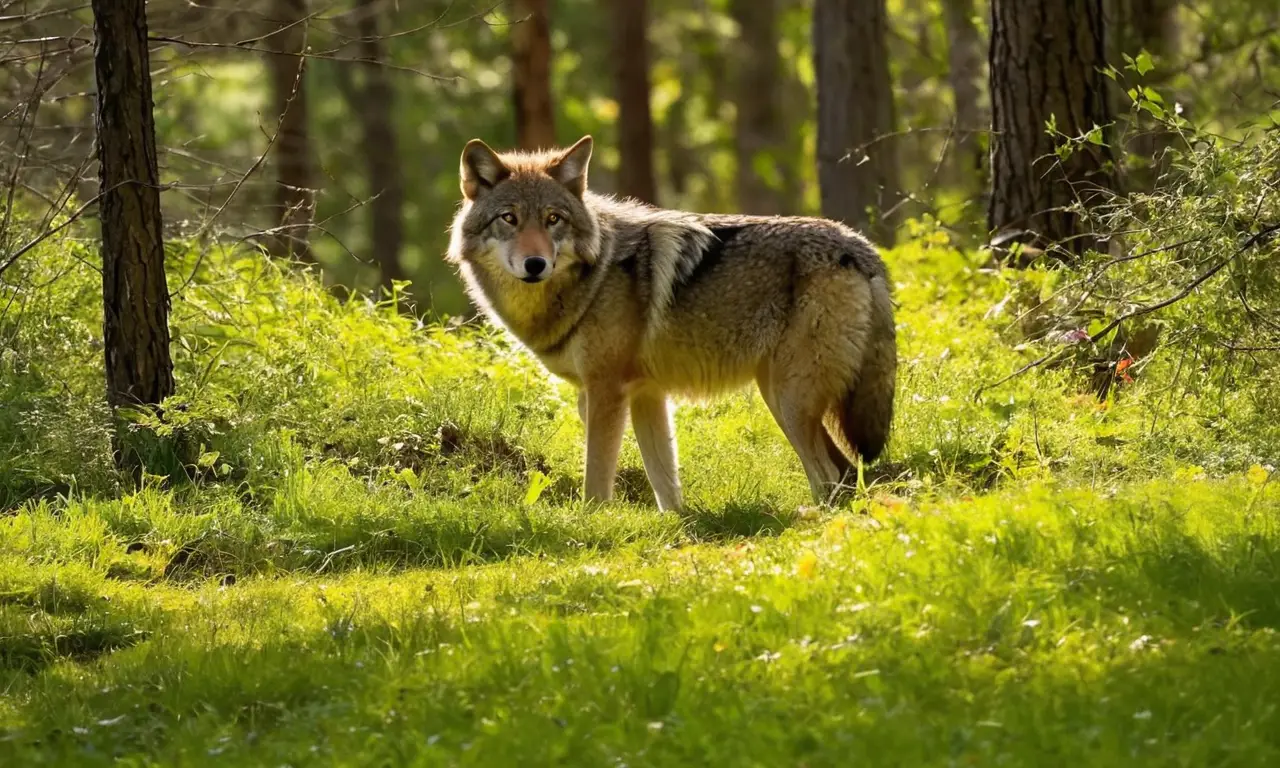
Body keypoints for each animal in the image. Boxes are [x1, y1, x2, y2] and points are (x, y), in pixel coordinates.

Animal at [447, 136, 896, 512]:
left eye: (553, 219)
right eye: (509, 218)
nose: (536, 264)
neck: (596, 276)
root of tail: (860, 247)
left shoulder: (606, 392)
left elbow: (597, 479)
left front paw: (591, 523)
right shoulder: (645, 394)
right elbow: (665, 482)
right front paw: (678, 527)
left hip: (790, 401)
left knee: (830, 474)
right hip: (782, 399)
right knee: (844, 473)